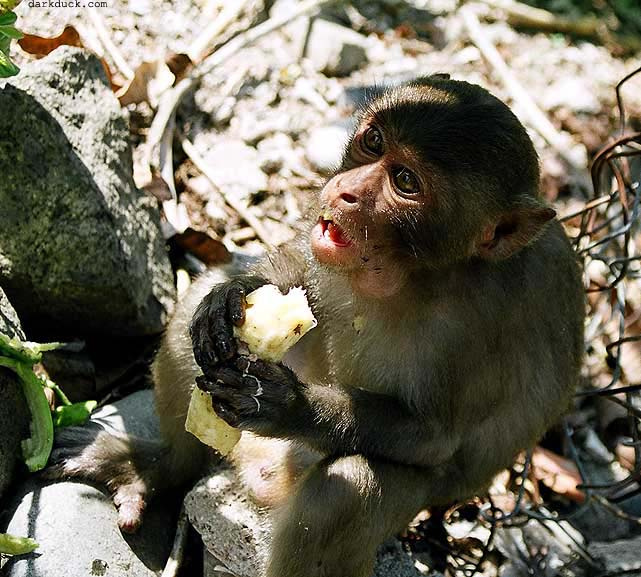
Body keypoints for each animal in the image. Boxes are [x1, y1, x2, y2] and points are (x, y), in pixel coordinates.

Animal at [50, 76, 585, 577]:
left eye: (405, 180)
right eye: (373, 142)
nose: (346, 191)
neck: (411, 276)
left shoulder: (477, 330)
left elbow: (431, 435)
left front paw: (286, 404)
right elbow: (298, 271)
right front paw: (235, 294)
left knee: (341, 497)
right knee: (189, 323)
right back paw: (153, 468)